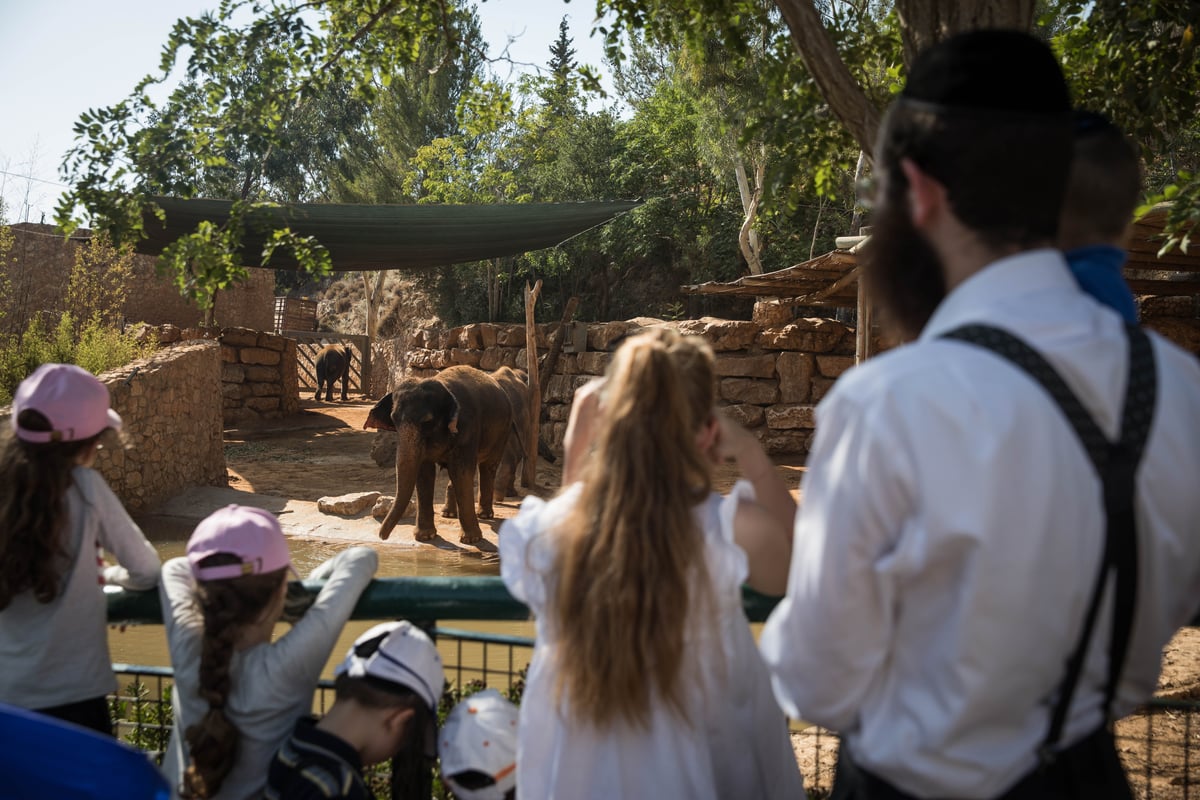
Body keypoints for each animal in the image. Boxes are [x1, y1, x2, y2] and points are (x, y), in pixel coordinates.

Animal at [364, 367, 516, 544]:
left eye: (427, 422)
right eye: (393, 420)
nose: (382, 537)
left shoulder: (468, 427)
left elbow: (461, 472)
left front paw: (471, 540)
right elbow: (424, 473)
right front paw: (425, 536)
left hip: (503, 432)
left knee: (488, 466)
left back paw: (484, 515)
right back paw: (448, 514)